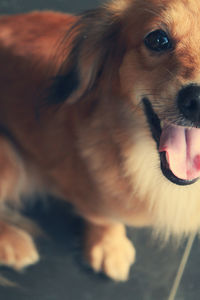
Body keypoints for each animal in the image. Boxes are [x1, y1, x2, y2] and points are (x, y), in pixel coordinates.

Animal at [0, 0, 200, 282]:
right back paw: (13, 243)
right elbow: (103, 216)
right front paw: (109, 247)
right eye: (158, 39)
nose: (197, 101)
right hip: (8, 157)